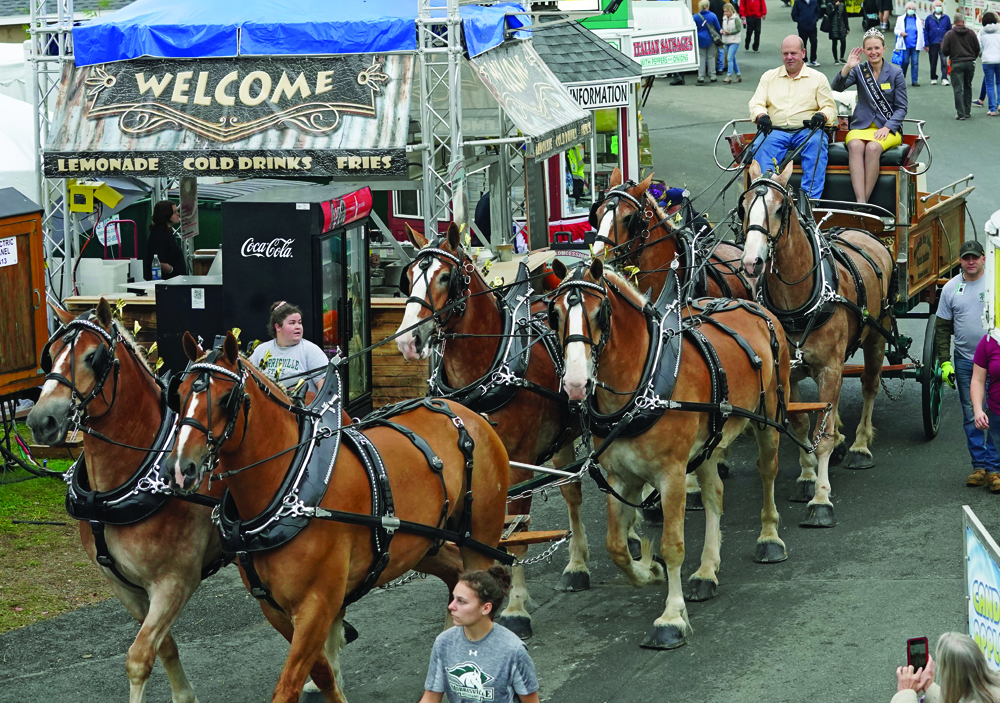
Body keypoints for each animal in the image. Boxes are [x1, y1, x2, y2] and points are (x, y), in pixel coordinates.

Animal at [26, 300, 226, 703]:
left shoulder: (175, 581)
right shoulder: (123, 586)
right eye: (49, 356)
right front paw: (185, 695)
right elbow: (164, 647)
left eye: (93, 357)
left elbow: (139, 657)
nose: (42, 420)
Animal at [167, 332, 508, 703]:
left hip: (480, 538)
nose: (181, 469)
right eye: (179, 394)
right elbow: (322, 673)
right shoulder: (275, 609)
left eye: (226, 398)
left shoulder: (317, 603)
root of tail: (465, 412)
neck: (291, 484)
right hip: (418, 544)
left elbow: (289, 685)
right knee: (453, 572)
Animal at [394, 224, 588, 640]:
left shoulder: (519, 464)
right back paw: (577, 564)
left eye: (446, 277)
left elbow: (515, 536)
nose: (407, 340)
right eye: (409, 277)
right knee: (572, 492)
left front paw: (515, 609)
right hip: (562, 437)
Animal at [548, 258, 788, 648]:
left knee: (768, 471)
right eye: (553, 314)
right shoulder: (620, 477)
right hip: (708, 445)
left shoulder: (672, 475)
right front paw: (649, 569)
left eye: (600, 313)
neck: (642, 388)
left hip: (769, 421)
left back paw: (769, 537)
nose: (575, 384)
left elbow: (673, 544)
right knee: (713, 495)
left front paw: (671, 617)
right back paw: (706, 569)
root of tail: (752, 304)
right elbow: (616, 545)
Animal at [740, 162, 896, 528]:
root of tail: (864, 233)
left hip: (877, 336)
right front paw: (807, 477)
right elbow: (800, 425)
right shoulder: (791, 373)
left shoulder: (830, 368)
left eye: (780, 209)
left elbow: (820, 437)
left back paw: (859, 445)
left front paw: (822, 499)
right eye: (743, 207)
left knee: (870, 385)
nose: (752, 262)